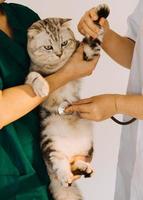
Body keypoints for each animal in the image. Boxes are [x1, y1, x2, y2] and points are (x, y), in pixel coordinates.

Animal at [25, 3, 110, 200]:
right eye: (48, 47)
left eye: (64, 43)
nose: (59, 53)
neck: (57, 67)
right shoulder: (29, 74)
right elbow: (34, 76)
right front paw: (43, 87)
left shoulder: (88, 51)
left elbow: (92, 39)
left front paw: (99, 13)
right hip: (51, 144)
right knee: (61, 166)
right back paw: (65, 176)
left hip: (88, 147)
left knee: (74, 162)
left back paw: (85, 168)